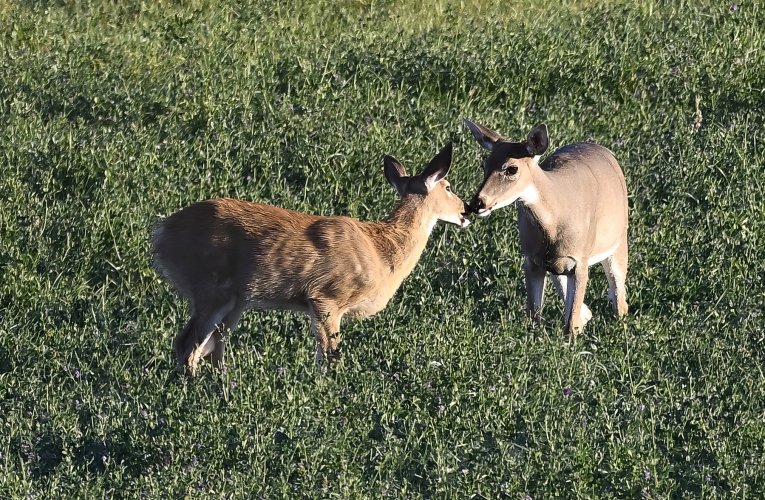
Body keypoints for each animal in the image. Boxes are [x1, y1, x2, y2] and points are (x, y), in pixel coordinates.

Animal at [151, 143, 468, 374]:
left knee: (210, 348)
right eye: (449, 186)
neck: (382, 252)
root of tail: (161, 232)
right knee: (187, 344)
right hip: (210, 288)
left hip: (235, 300)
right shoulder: (327, 297)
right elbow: (329, 356)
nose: (466, 211)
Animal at [462, 120, 628, 336]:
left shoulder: (580, 259)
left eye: (512, 169)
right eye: (484, 165)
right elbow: (534, 313)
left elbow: (570, 323)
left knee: (620, 297)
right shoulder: (531, 258)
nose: (477, 203)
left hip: (619, 238)